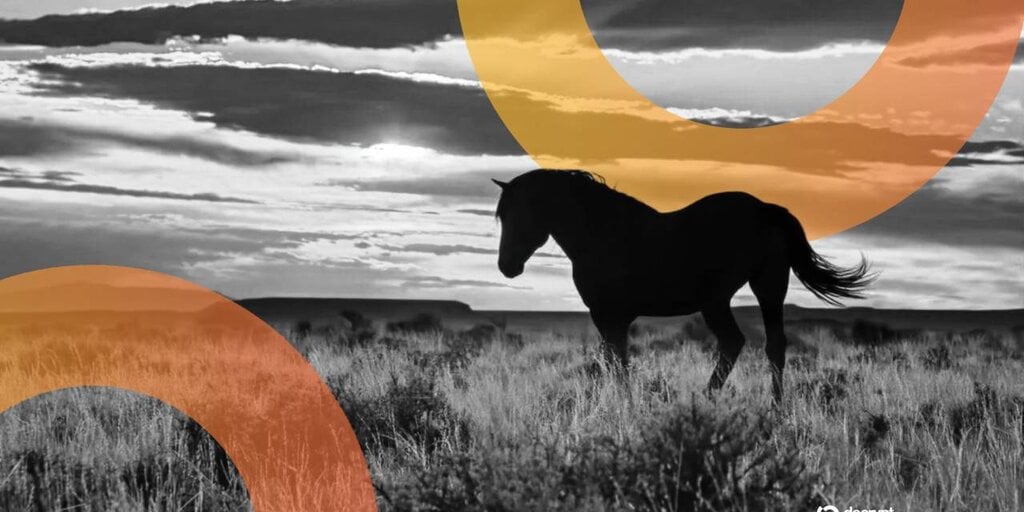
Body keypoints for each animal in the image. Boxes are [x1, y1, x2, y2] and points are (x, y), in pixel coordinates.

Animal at [492, 169, 874, 402]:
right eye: (502, 215)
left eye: (523, 213)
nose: (506, 266)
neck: (602, 232)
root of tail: (765, 209)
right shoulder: (614, 318)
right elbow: (613, 362)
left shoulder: (609, 315)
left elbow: (616, 363)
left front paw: (623, 407)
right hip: (760, 288)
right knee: (769, 345)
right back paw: (767, 408)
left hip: (724, 297)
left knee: (738, 343)